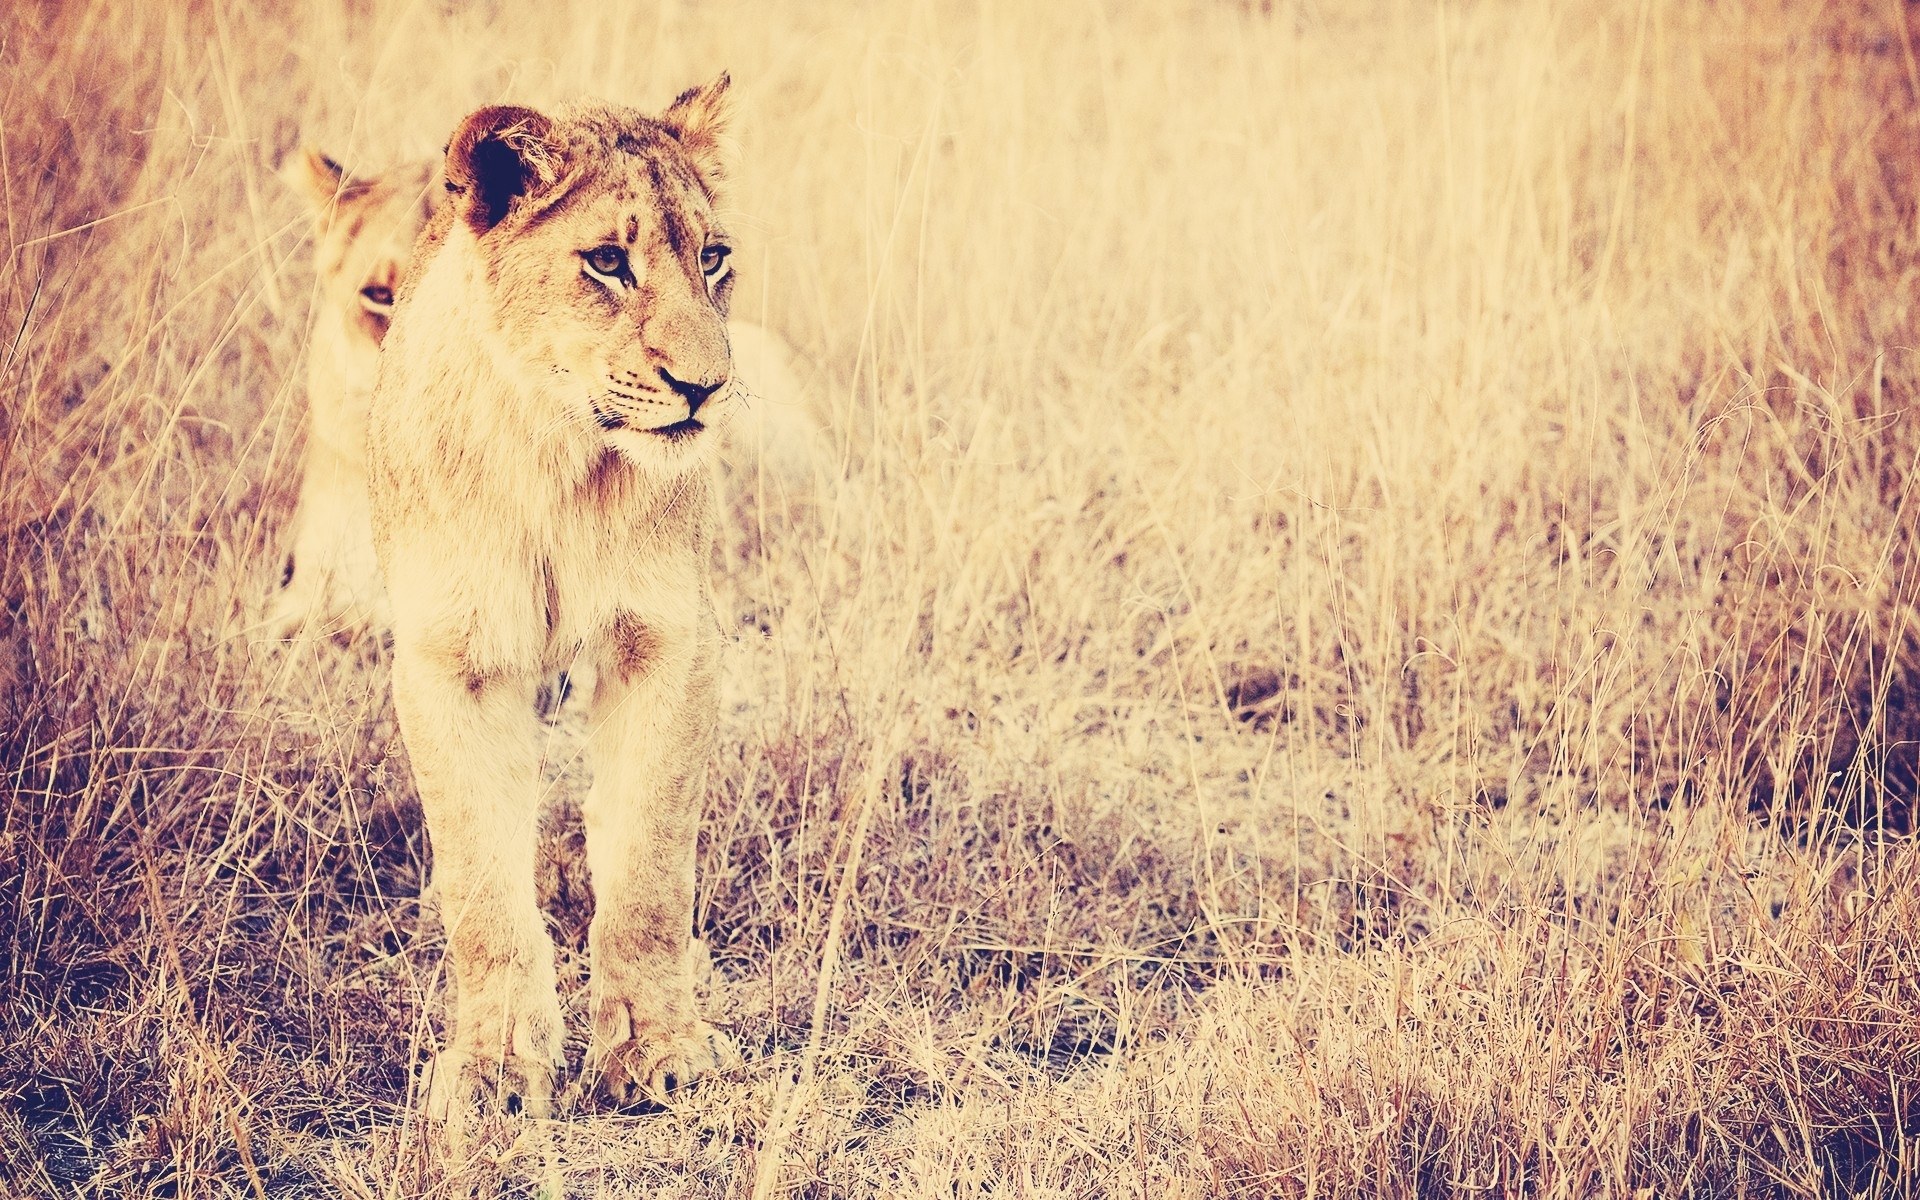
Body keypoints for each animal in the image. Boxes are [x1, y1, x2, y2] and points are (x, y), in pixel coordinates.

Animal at [368, 79, 748, 1119]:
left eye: (714, 258)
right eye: (608, 263)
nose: (705, 386)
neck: (560, 458)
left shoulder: (670, 642)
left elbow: (651, 868)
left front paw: (659, 1051)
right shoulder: (448, 660)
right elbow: (481, 885)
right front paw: (496, 1070)